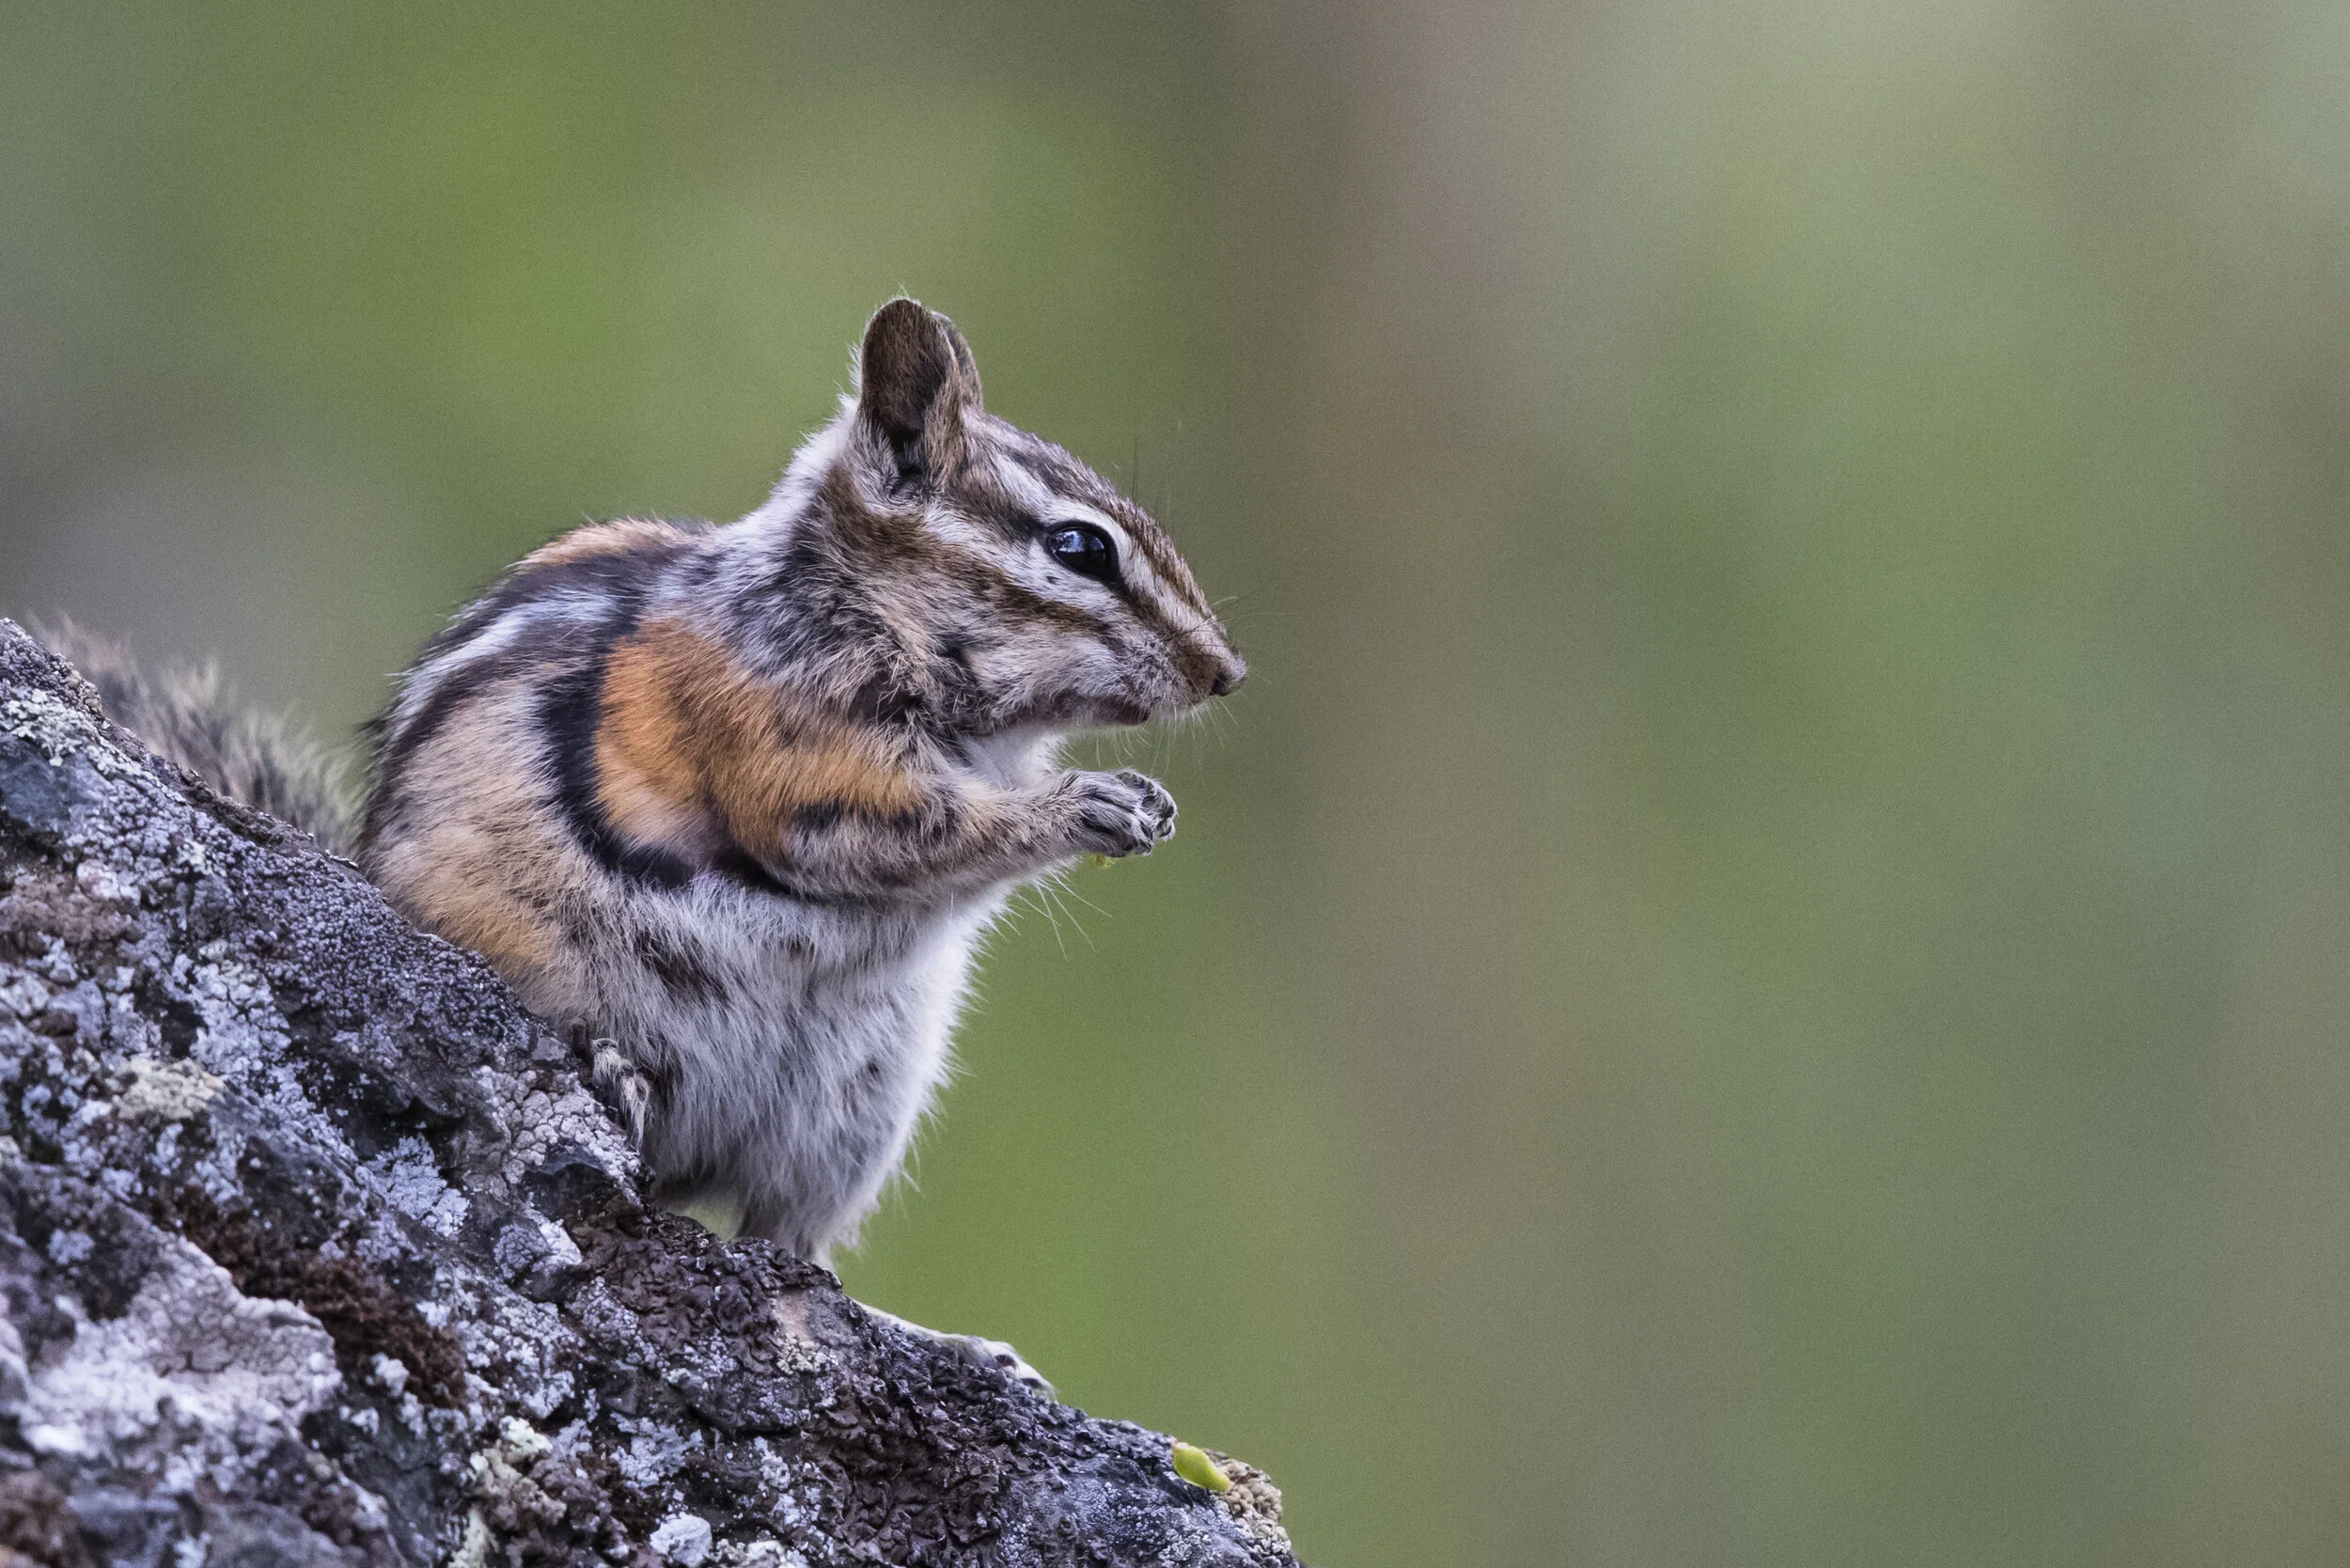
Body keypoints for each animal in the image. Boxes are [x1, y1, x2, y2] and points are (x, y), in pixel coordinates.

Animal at [45, 298, 1244, 1390]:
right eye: (1078, 548)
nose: (1225, 672)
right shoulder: (789, 755)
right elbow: (888, 828)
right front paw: (1086, 805)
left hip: (851, 1108)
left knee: (789, 1254)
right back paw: (615, 1069)